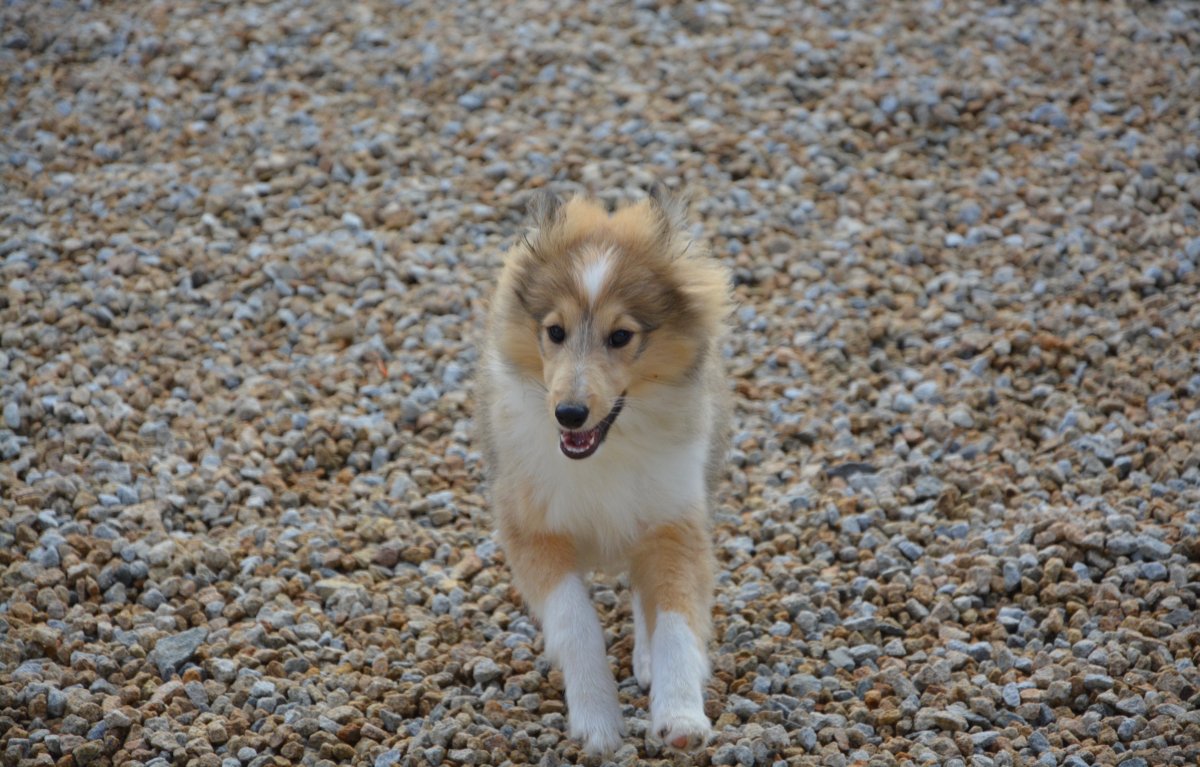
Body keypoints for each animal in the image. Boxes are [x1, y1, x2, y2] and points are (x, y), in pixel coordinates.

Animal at [477, 187, 729, 758]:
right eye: (554, 331)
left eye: (620, 336)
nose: (569, 414)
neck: (602, 452)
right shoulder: (532, 528)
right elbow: (576, 624)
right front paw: (598, 724)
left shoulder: (674, 519)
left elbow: (678, 615)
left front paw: (680, 717)